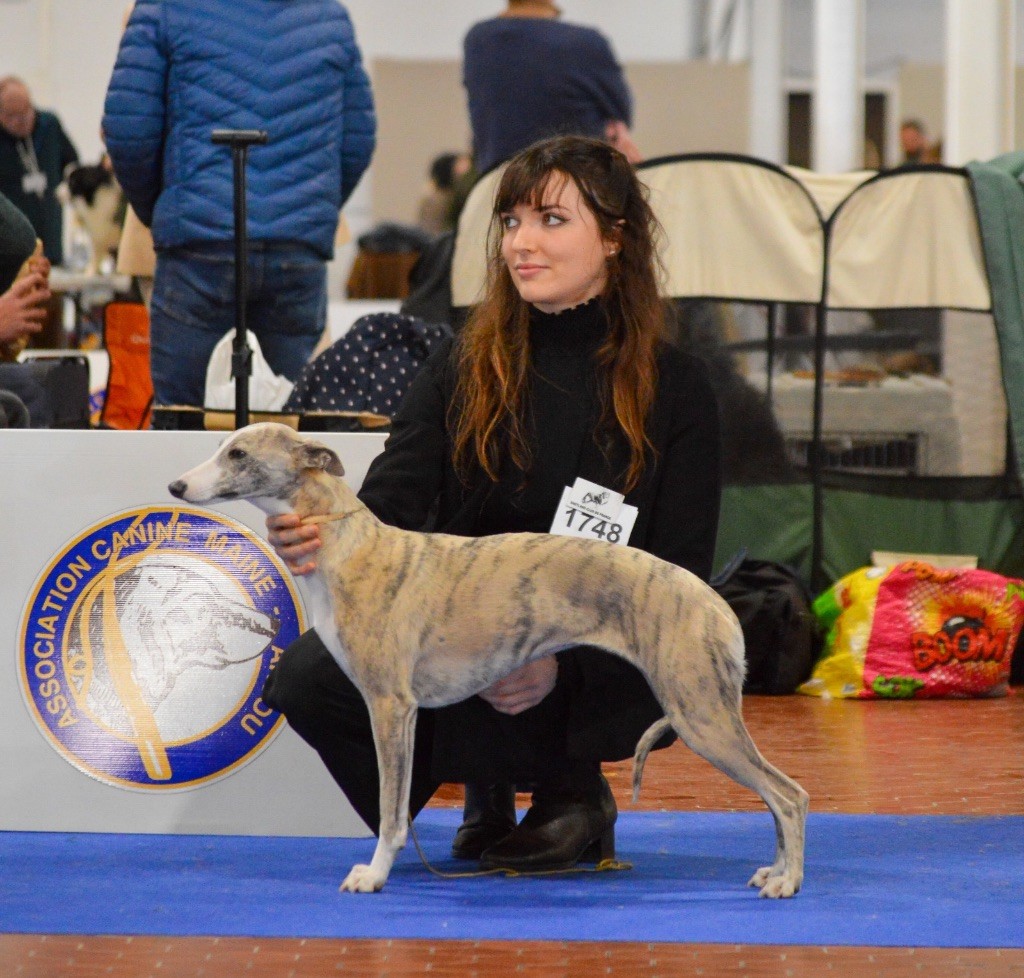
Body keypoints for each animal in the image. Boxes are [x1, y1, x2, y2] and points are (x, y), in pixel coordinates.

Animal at [169, 419, 806, 893]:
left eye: (238, 452)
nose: (177, 488)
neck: (350, 546)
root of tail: (712, 599)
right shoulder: (397, 708)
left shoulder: (390, 706)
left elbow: (393, 811)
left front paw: (373, 874)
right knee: (778, 798)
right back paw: (773, 871)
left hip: (699, 712)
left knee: (789, 796)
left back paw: (787, 881)